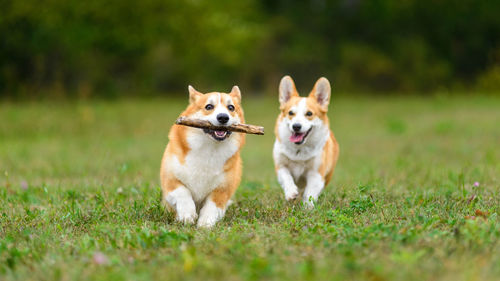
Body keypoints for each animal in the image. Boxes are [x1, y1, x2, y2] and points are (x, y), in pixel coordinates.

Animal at [161, 84, 245, 226]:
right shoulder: (170, 181)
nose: (223, 117)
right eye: (209, 107)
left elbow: (212, 206)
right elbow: (183, 192)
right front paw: (187, 215)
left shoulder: (222, 190)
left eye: (231, 108)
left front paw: (205, 223)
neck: (209, 148)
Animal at [274, 75, 340, 207]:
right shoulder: (280, 166)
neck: (299, 150)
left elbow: (310, 193)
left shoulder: (316, 173)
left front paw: (307, 207)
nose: (296, 126)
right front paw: (291, 193)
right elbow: (286, 177)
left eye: (309, 113)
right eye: (291, 113)